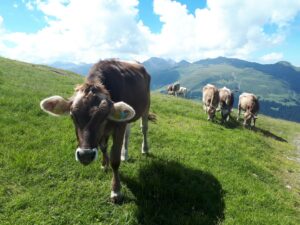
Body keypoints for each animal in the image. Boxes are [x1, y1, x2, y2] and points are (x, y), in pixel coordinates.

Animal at [39, 59, 152, 203]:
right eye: (72, 115)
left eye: (103, 116)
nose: (85, 155)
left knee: (144, 128)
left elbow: (115, 160)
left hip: (146, 105)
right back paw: (125, 154)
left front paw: (116, 190)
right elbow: (103, 147)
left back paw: (144, 149)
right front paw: (104, 164)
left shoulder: (119, 126)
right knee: (128, 133)